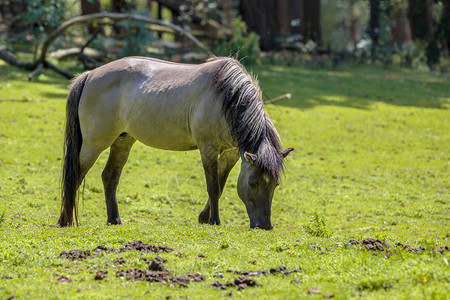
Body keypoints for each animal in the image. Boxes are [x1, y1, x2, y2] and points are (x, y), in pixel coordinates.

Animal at [58, 56, 294, 230]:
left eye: (275, 184)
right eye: (253, 183)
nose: (265, 226)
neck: (227, 99)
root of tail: (89, 75)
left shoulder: (232, 153)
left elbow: (221, 183)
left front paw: (204, 217)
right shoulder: (208, 149)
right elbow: (213, 186)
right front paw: (214, 221)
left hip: (123, 140)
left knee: (109, 177)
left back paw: (114, 220)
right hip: (94, 144)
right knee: (75, 175)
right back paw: (65, 220)